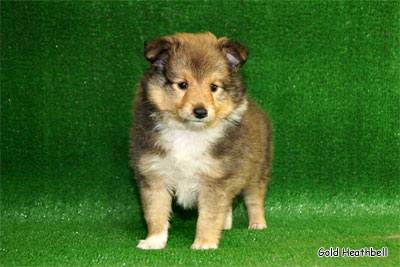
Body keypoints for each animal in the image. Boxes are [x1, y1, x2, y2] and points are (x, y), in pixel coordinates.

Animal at [130, 32, 272, 250]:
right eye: (182, 84)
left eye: (214, 87)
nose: (200, 112)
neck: (189, 132)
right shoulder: (154, 173)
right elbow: (155, 213)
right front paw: (154, 241)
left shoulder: (214, 177)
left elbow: (208, 216)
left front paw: (204, 243)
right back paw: (226, 224)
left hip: (257, 170)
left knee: (254, 199)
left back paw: (257, 224)